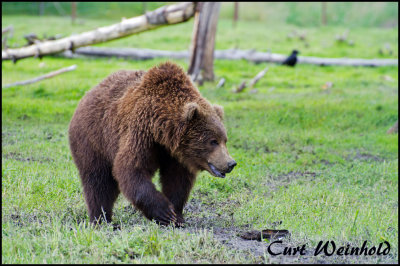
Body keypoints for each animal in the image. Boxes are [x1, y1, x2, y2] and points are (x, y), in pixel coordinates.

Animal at [69, 61, 236, 225]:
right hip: (93, 139)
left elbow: (177, 180)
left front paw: (177, 216)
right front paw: (165, 213)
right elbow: (131, 169)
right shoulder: (141, 132)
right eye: (213, 141)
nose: (231, 163)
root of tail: (88, 93)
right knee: (98, 181)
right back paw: (101, 219)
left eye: (224, 140)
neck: (162, 132)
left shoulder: (174, 153)